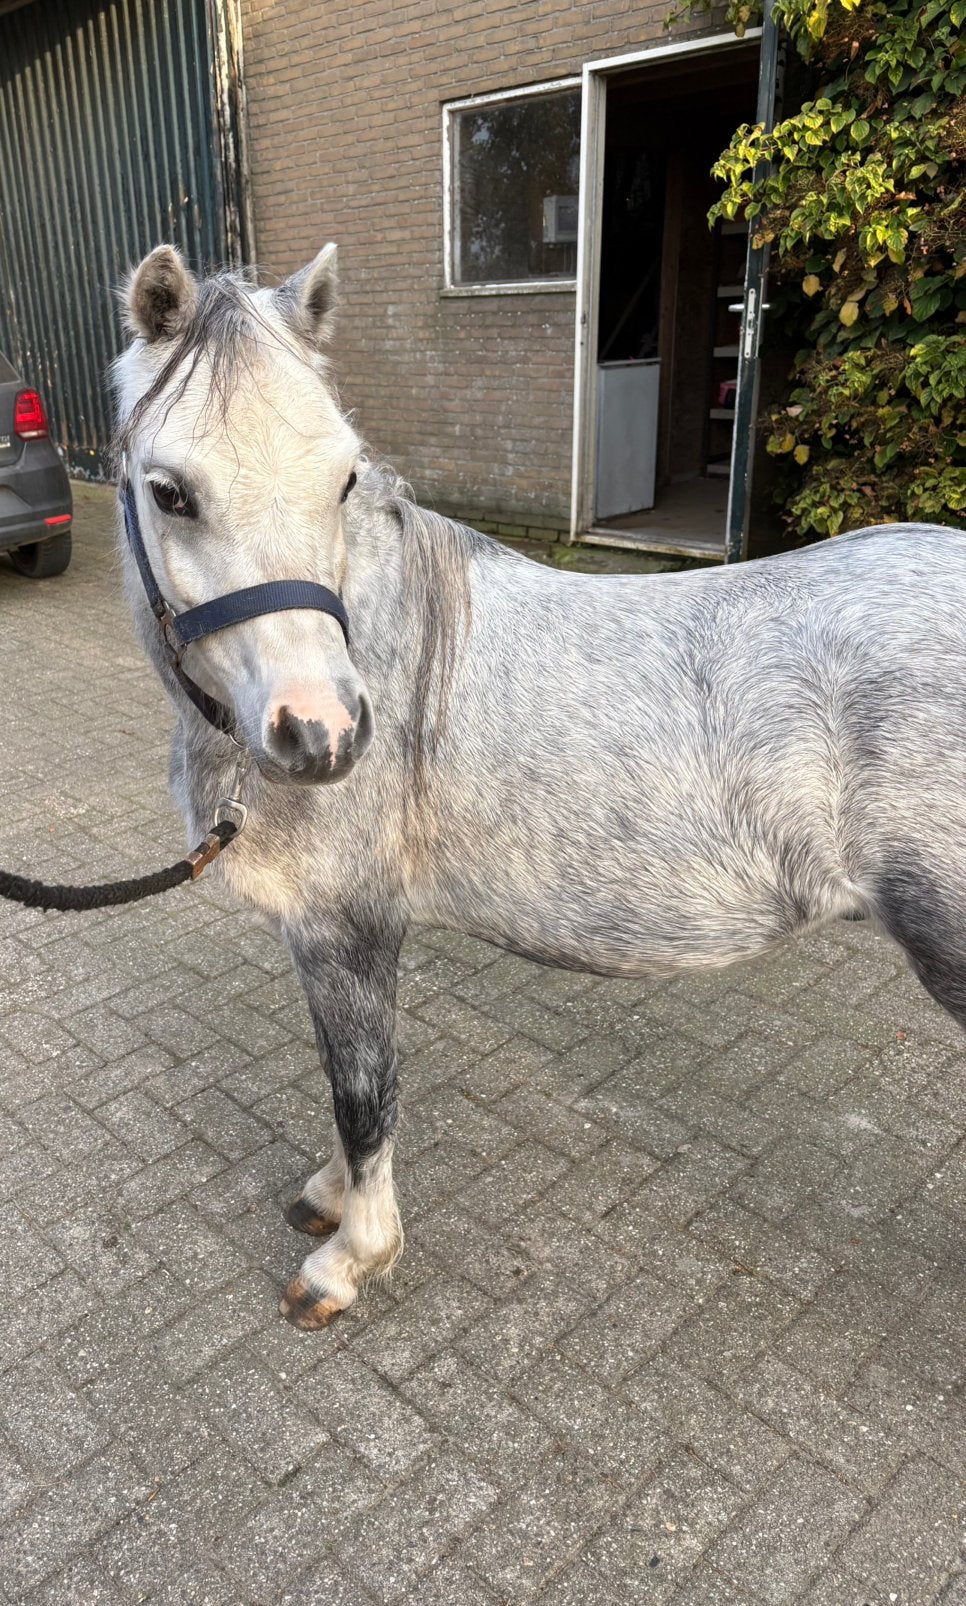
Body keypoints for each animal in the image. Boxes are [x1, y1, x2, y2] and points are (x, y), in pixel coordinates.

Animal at [114, 243, 965, 1330]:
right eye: (169, 491)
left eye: (342, 478)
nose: (323, 734)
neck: (391, 644)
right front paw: (331, 1201)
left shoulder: (347, 928)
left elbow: (362, 1091)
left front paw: (350, 1258)